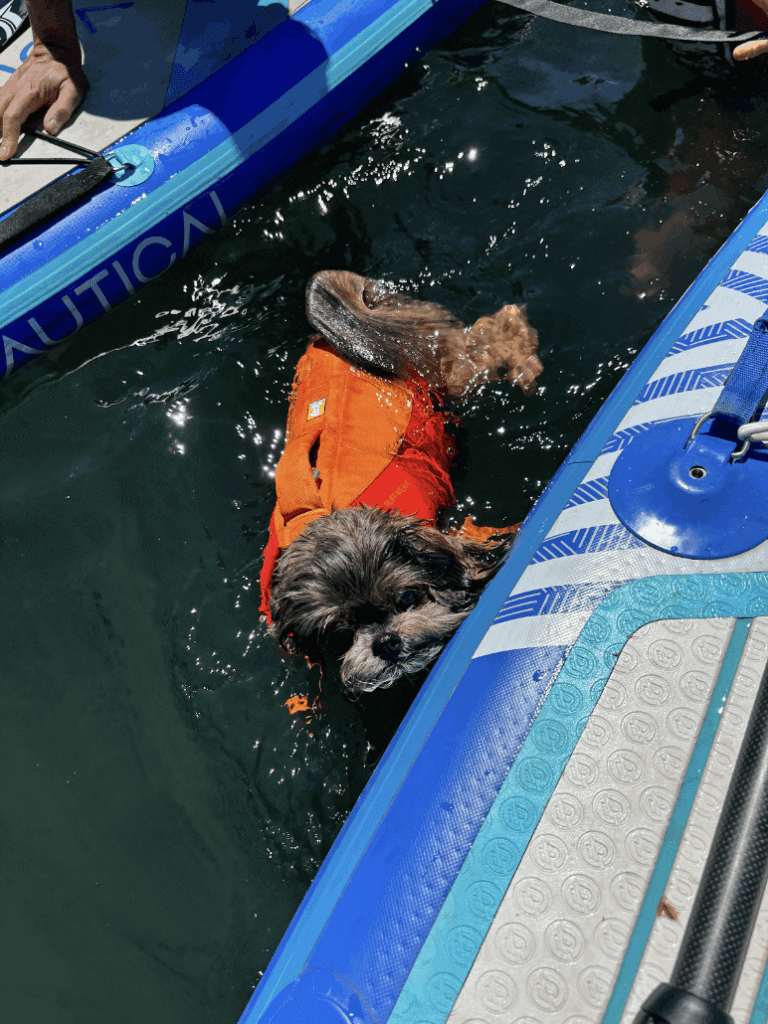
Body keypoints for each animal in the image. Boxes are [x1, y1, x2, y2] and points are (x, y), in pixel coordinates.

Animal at [262, 268, 544, 692]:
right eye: (340, 636)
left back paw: (525, 359)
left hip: (446, 363)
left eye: (407, 598)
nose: (386, 641)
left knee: (493, 331)